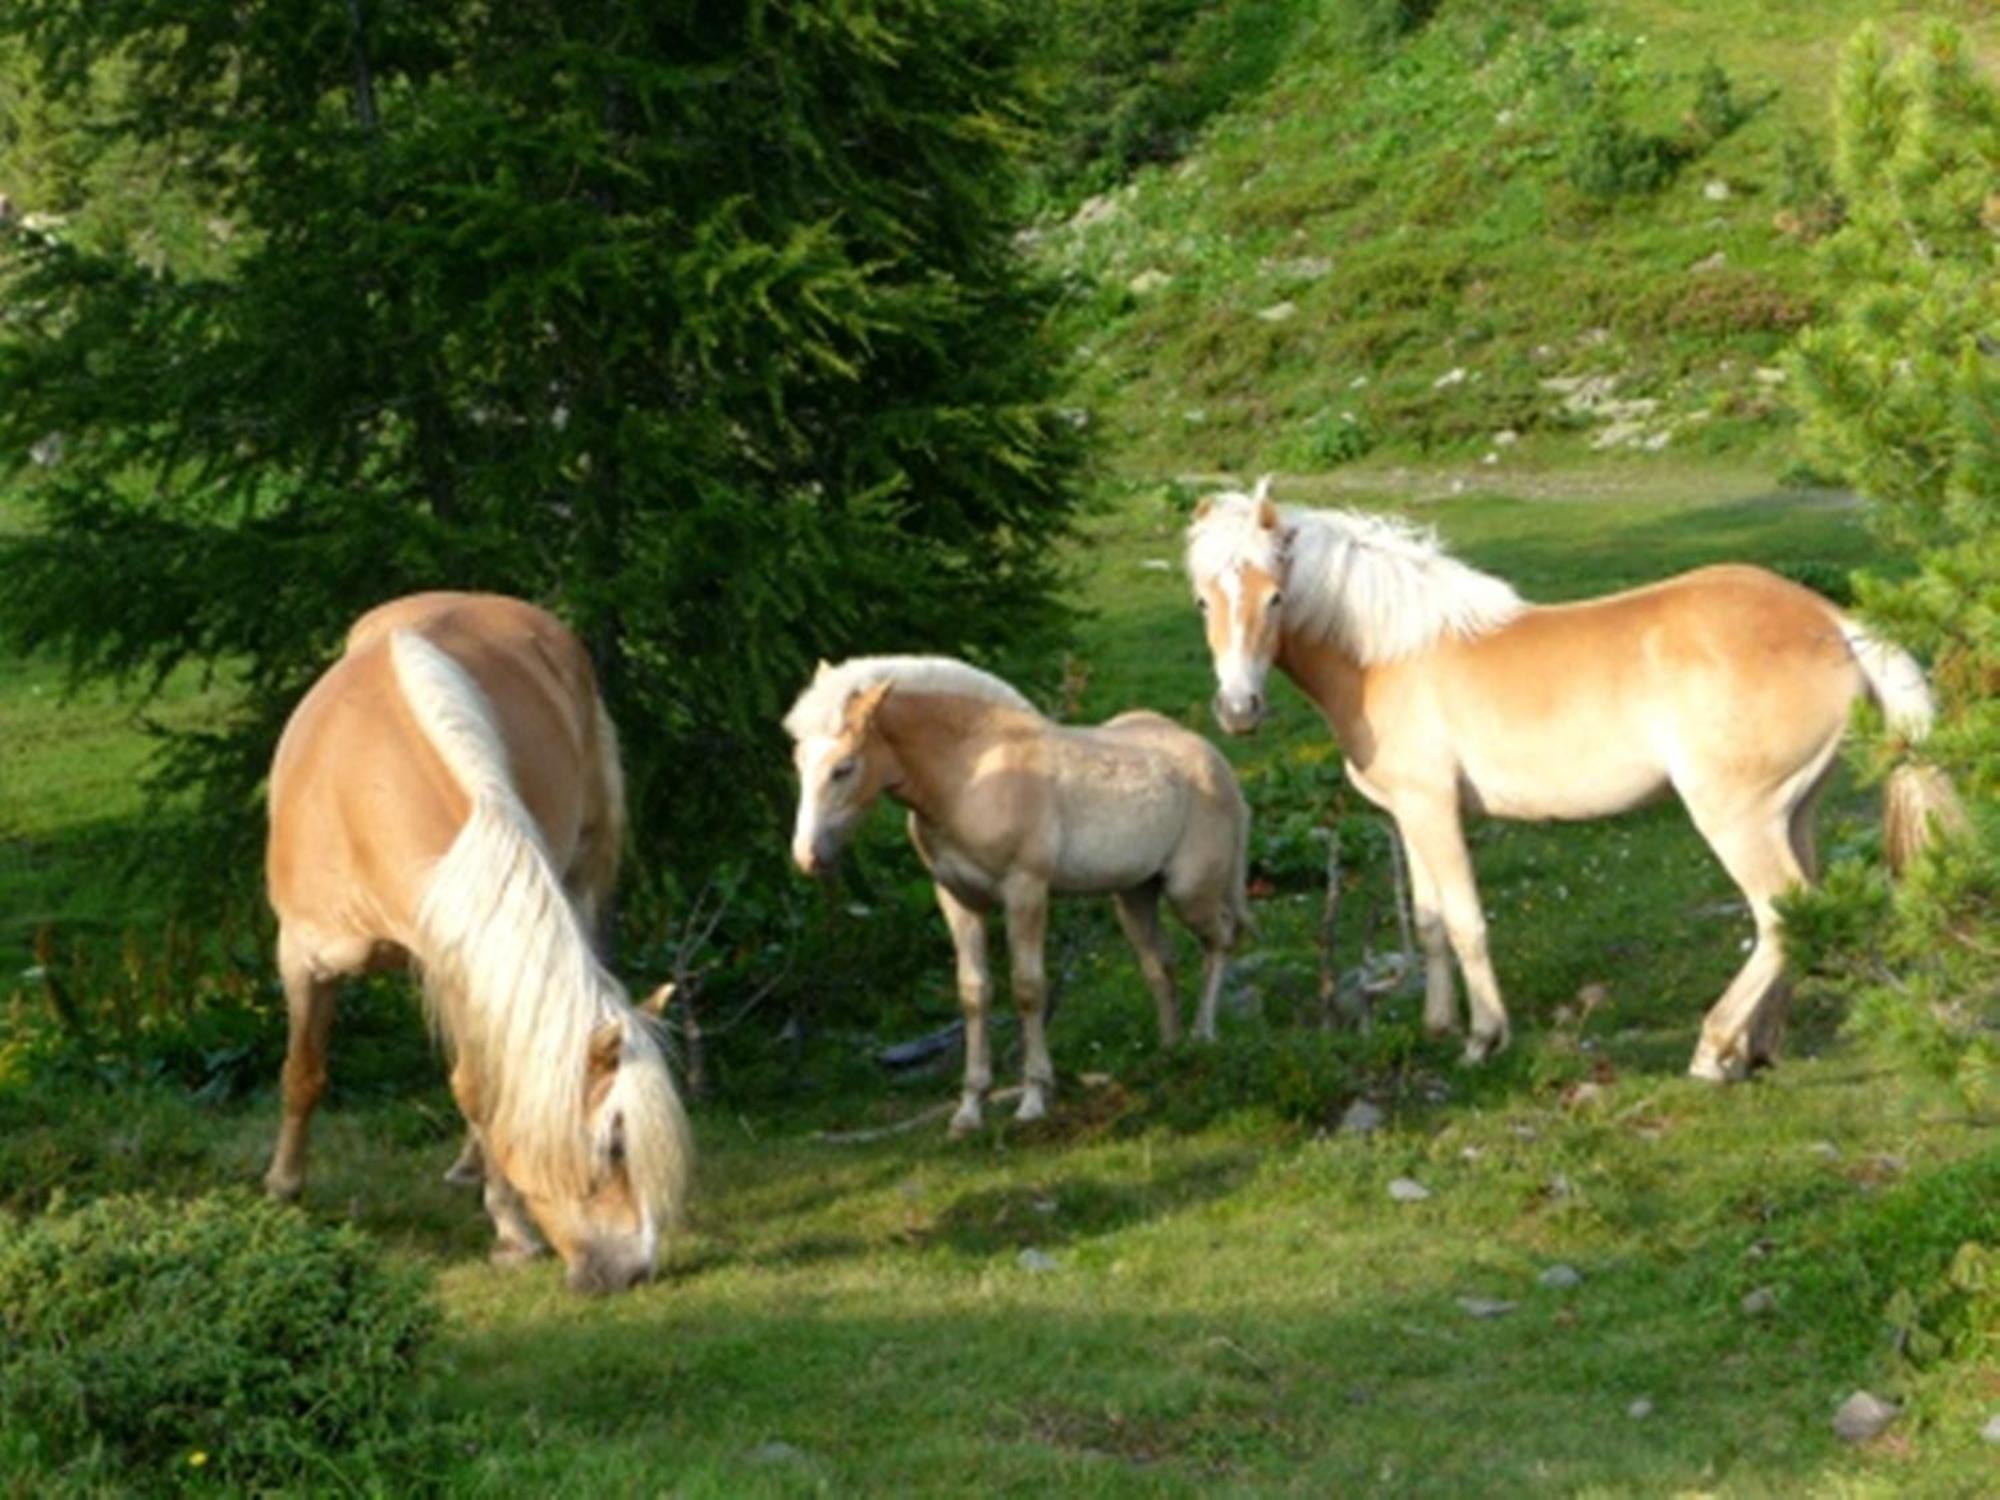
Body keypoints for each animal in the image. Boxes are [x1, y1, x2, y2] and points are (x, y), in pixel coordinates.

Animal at [266, 592, 692, 1296]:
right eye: (611, 1145)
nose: (631, 1271)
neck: (356, 795)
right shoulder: (303, 956)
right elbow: (302, 1073)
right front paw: (283, 1189)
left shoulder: (462, 965)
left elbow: (481, 1090)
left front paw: (511, 1230)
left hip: (578, 878)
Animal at [784, 656, 1240, 1136]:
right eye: (798, 761)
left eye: (844, 767)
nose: (807, 856)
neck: (969, 773)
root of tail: (1213, 760)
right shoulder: (959, 900)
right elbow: (974, 992)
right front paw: (969, 1110)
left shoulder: (1025, 890)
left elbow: (1027, 988)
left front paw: (1034, 1099)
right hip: (1134, 897)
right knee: (1160, 965)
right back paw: (1169, 1055)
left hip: (1189, 891)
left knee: (1220, 940)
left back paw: (1202, 1038)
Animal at [1176, 482, 1960, 1080]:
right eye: (1203, 602)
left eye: (1276, 598)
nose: (1238, 710)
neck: (1388, 656)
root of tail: (1832, 619)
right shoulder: (1409, 817)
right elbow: (1430, 924)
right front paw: (1437, 1026)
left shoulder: (1434, 811)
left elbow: (1466, 923)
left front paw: (1483, 1038)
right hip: (1792, 813)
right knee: (1806, 914)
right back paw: (1755, 1048)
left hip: (1735, 817)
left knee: (1775, 913)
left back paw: (1713, 1051)